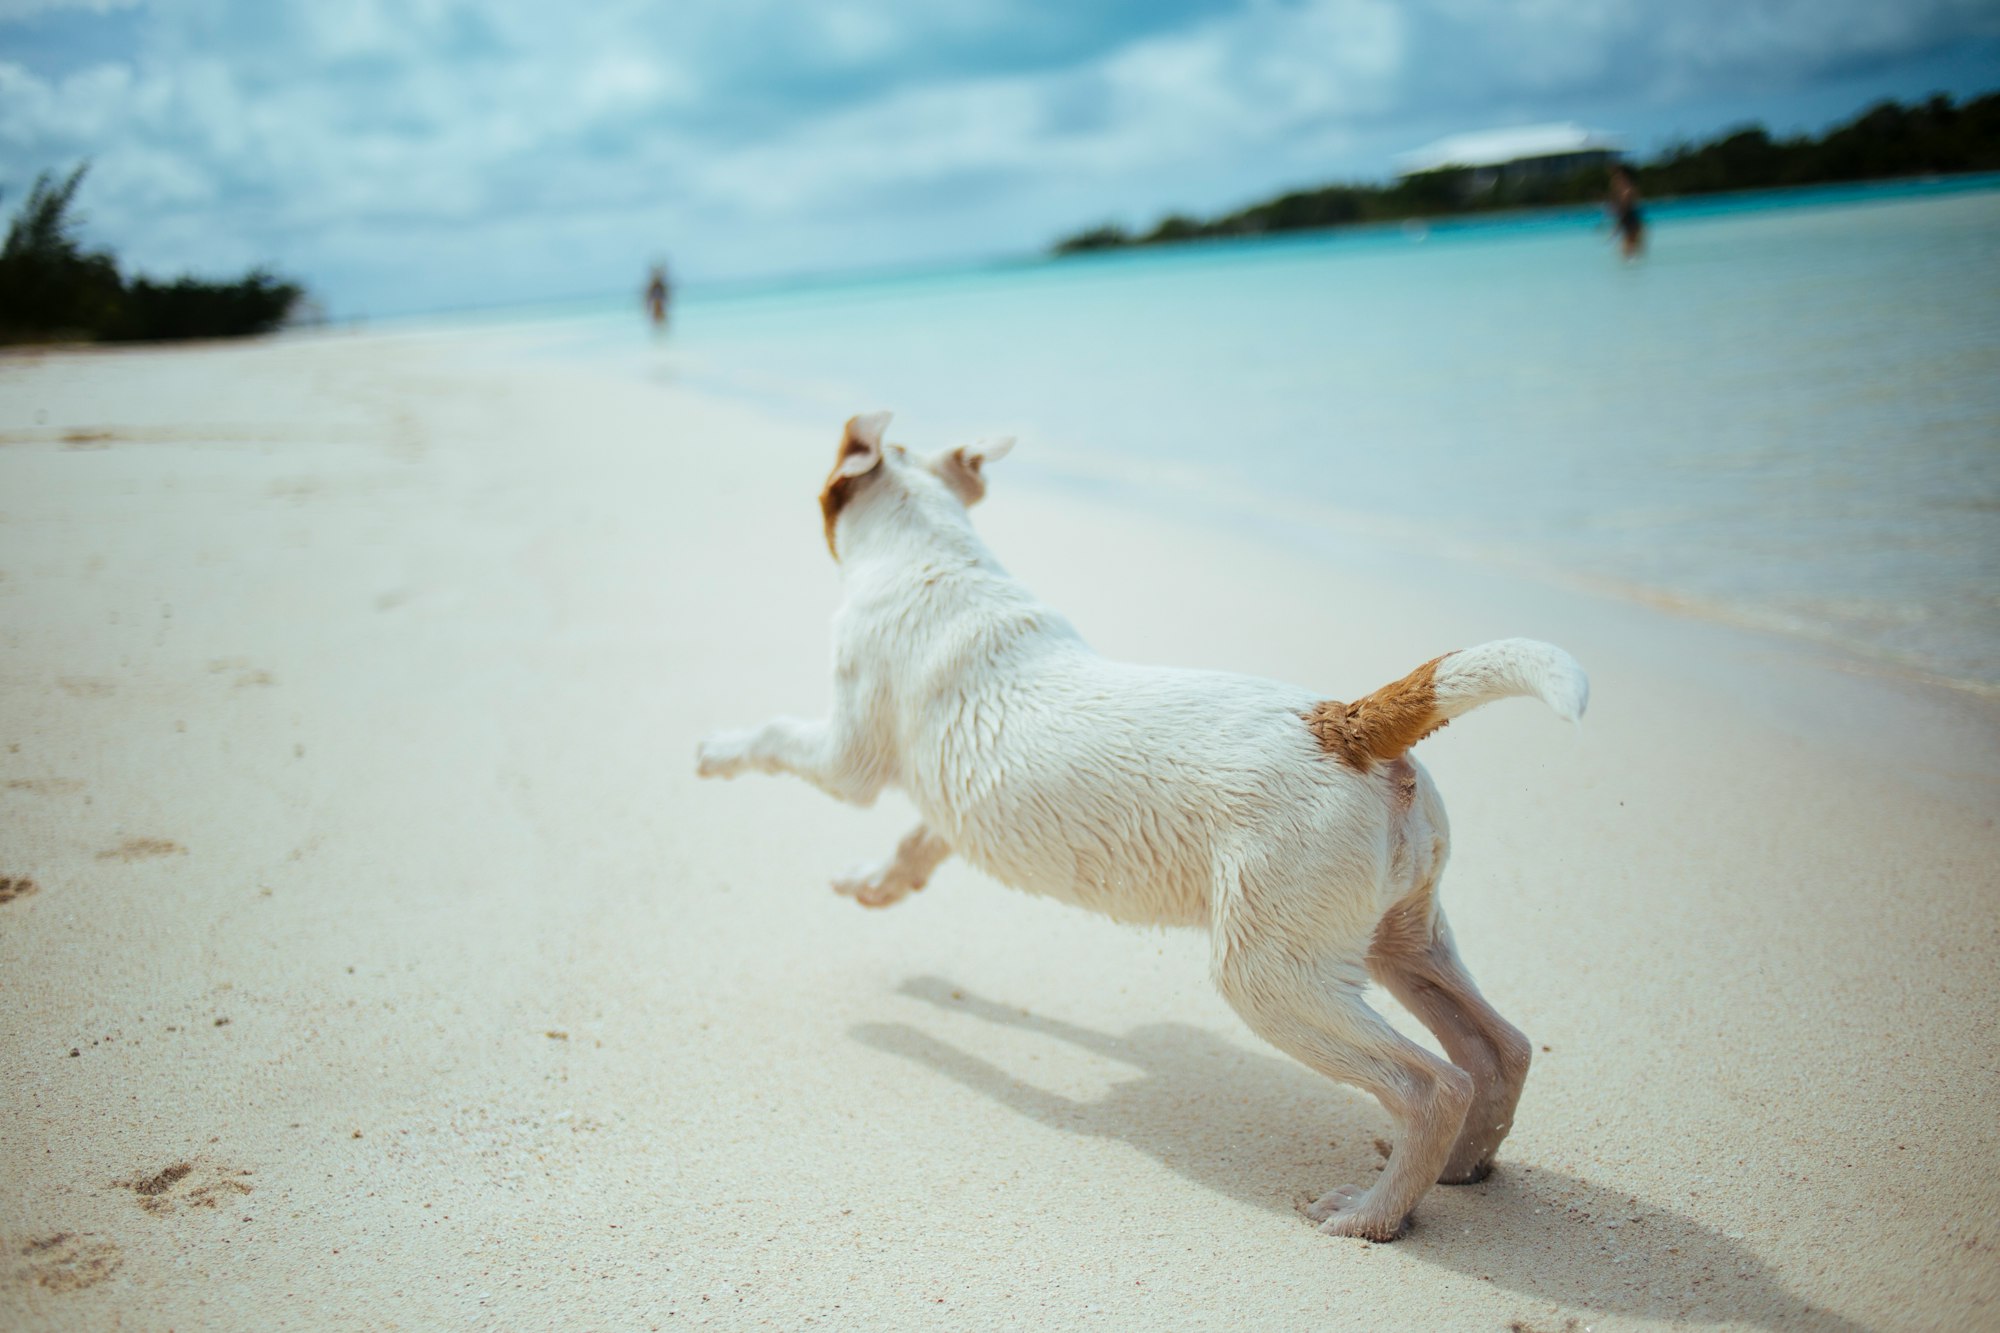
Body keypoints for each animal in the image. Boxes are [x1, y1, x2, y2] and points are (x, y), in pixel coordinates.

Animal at [696, 412, 1584, 1232]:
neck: (934, 556)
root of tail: (1346, 723)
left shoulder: (847, 756)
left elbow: (776, 737)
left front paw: (714, 751)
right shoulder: (951, 799)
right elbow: (919, 841)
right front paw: (875, 884)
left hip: (1272, 974)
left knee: (1431, 1082)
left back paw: (1372, 1212)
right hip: (1400, 937)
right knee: (1498, 1047)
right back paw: (1463, 1167)